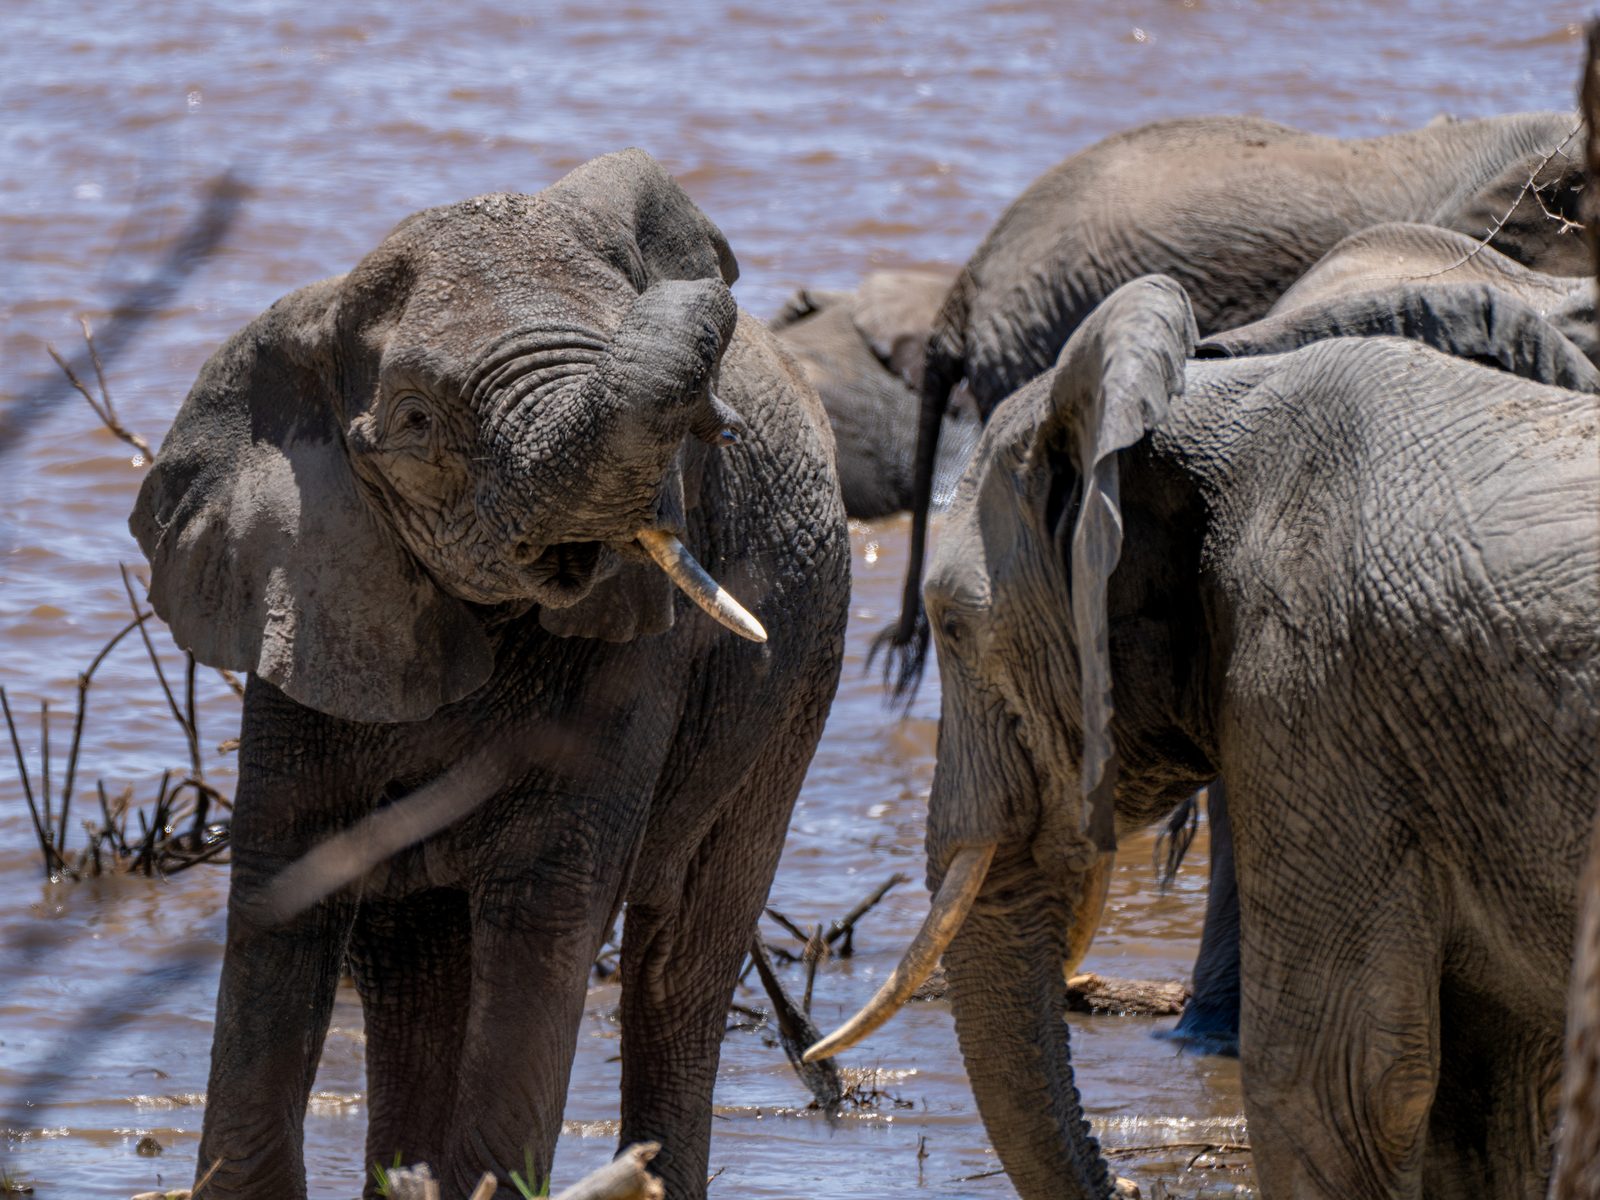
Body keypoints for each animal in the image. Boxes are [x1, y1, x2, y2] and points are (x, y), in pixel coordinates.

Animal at [128, 149, 850, 1199]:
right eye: (418, 421)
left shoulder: (642, 650)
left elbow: (546, 891)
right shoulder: (305, 593)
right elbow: (286, 879)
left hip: (797, 684)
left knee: (682, 956)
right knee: (414, 960)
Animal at [808, 275, 1600, 1198]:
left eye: (957, 627)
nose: (1130, 1184)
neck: (1201, 406)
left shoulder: (1312, 687)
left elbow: (1330, 1087)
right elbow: (1486, 1101)